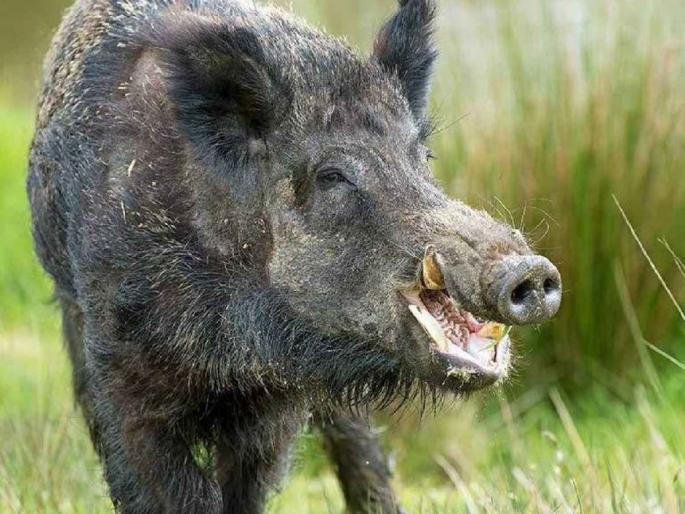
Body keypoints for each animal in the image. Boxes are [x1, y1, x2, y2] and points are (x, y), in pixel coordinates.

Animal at [27, 0, 561, 512]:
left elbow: (249, 484)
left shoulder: (276, 398)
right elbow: (166, 488)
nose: (529, 270)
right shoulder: (121, 370)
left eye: (422, 158)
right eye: (332, 176)